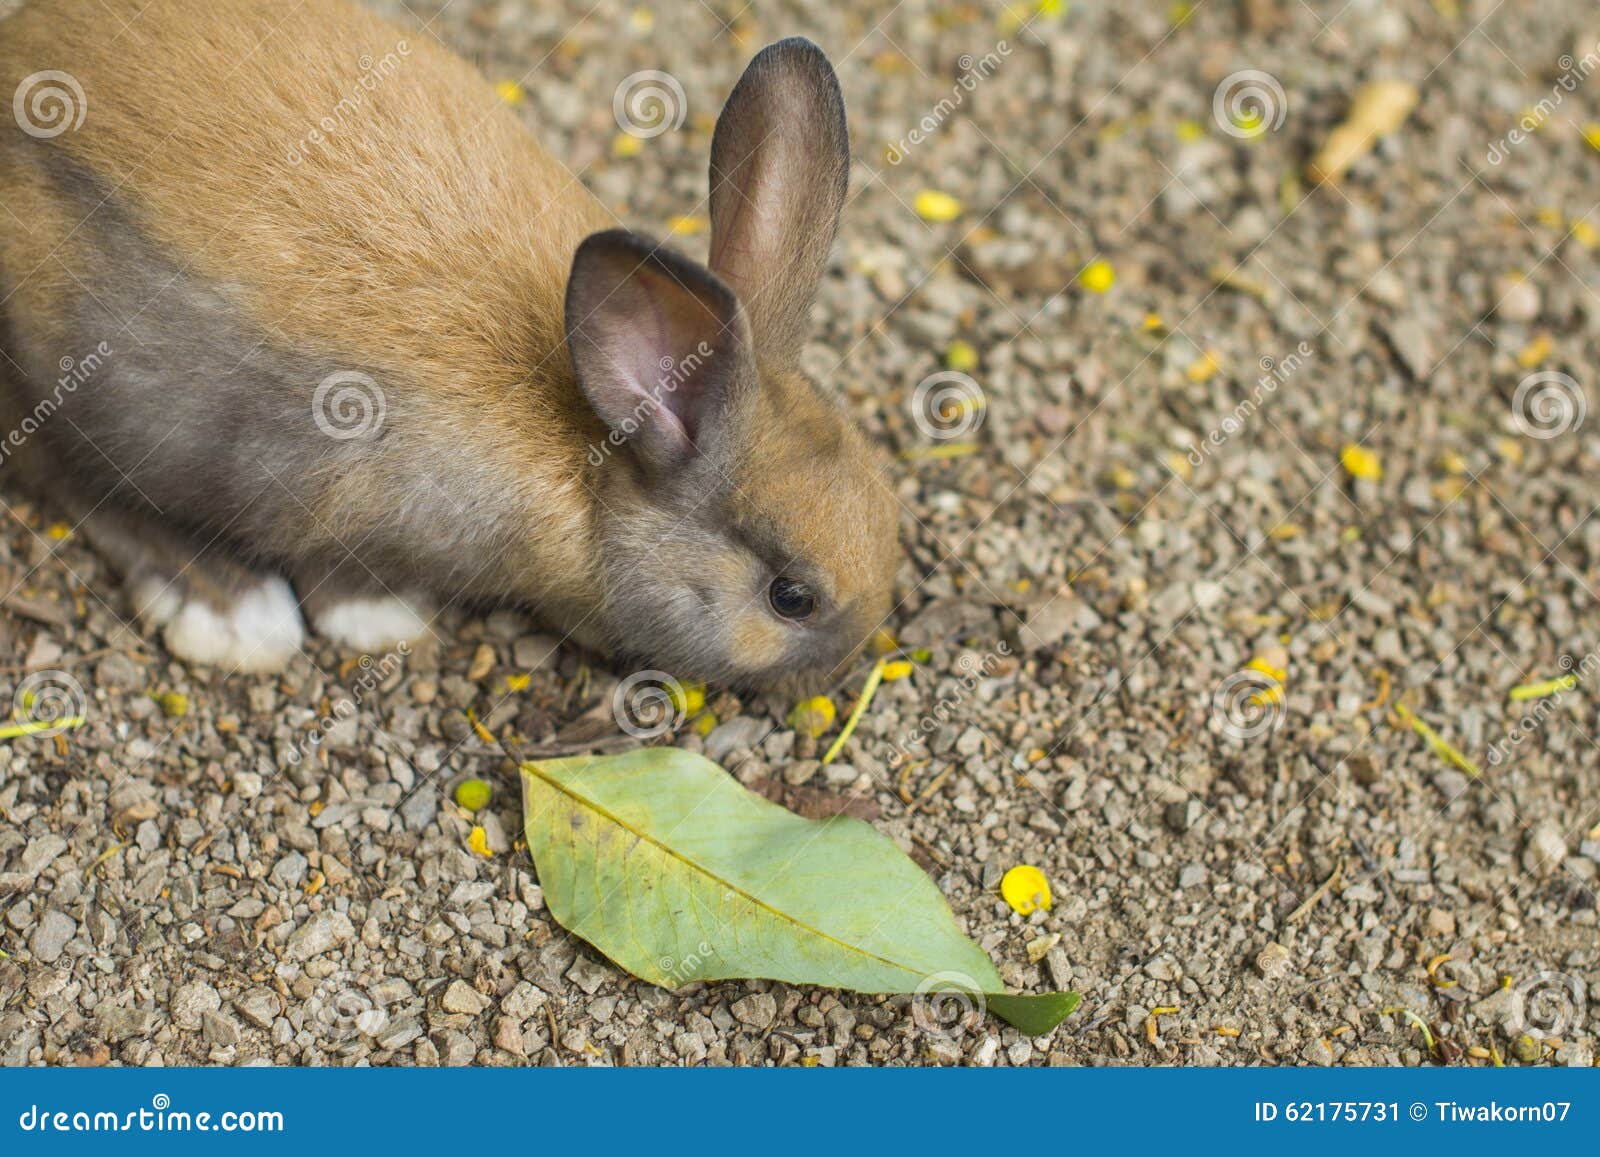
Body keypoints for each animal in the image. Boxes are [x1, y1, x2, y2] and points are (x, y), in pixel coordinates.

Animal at [0, 0, 902, 688]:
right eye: (792, 596)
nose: (846, 660)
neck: (592, 459)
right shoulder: (336, 490)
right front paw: (380, 619)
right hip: (81, 381)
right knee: (73, 481)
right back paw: (231, 608)